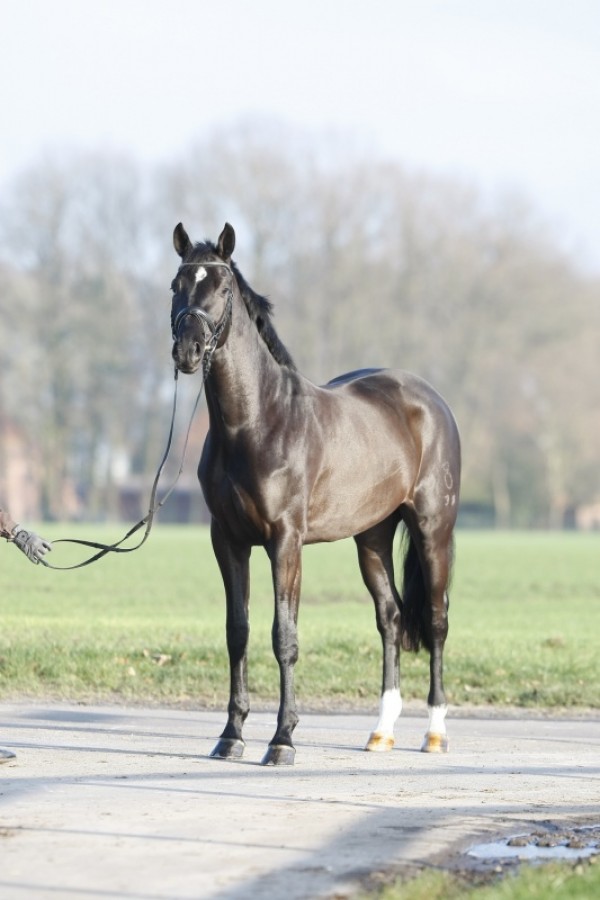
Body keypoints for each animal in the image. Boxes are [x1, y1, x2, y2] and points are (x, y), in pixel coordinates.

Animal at [171, 223, 462, 768]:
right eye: (177, 284)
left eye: (221, 288)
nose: (187, 350)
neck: (257, 421)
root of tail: (431, 400)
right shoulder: (228, 541)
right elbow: (237, 633)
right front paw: (231, 735)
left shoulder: (285, 542)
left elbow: (283, 636)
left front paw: (282, 739)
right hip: (372, 539)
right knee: (391, 619)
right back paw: (381, 732)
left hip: (433, 529)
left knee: (435, 621)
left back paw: (434, 732)